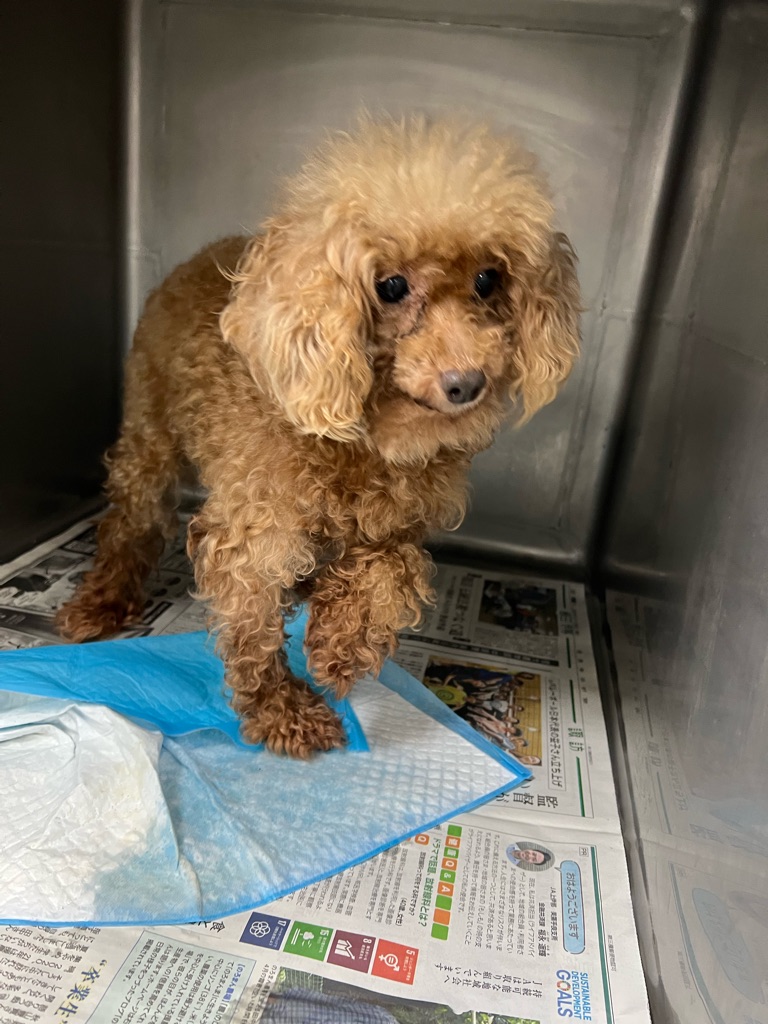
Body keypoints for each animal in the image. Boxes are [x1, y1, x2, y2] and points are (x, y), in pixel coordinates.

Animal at [56, 117, 580, 757]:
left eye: (487, 279)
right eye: (391, 286)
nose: (467, 384)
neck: (362, 442)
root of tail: (196, 257)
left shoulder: (398, 526)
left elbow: (395, 572)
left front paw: (339, 649)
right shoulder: (254, 534)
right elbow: (253, 631)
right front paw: (282, 709)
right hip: (148, 434)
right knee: (130, 521)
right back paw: (103, 600)